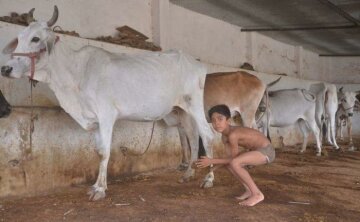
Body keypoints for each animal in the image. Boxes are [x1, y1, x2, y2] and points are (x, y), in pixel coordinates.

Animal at [0, 6, 214, 200]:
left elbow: (104, 152)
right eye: (19, 38)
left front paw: (100, 189)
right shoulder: (94, 120)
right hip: (181, 110)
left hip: (194, 105)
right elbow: (98, 152)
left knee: (207, 135)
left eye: (35, 39)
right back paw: (188, 174)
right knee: (193, 137)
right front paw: (98, 186)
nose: (6, 68)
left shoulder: (106, 115)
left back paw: (209, 178)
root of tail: (197, 63)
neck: (75, 74)